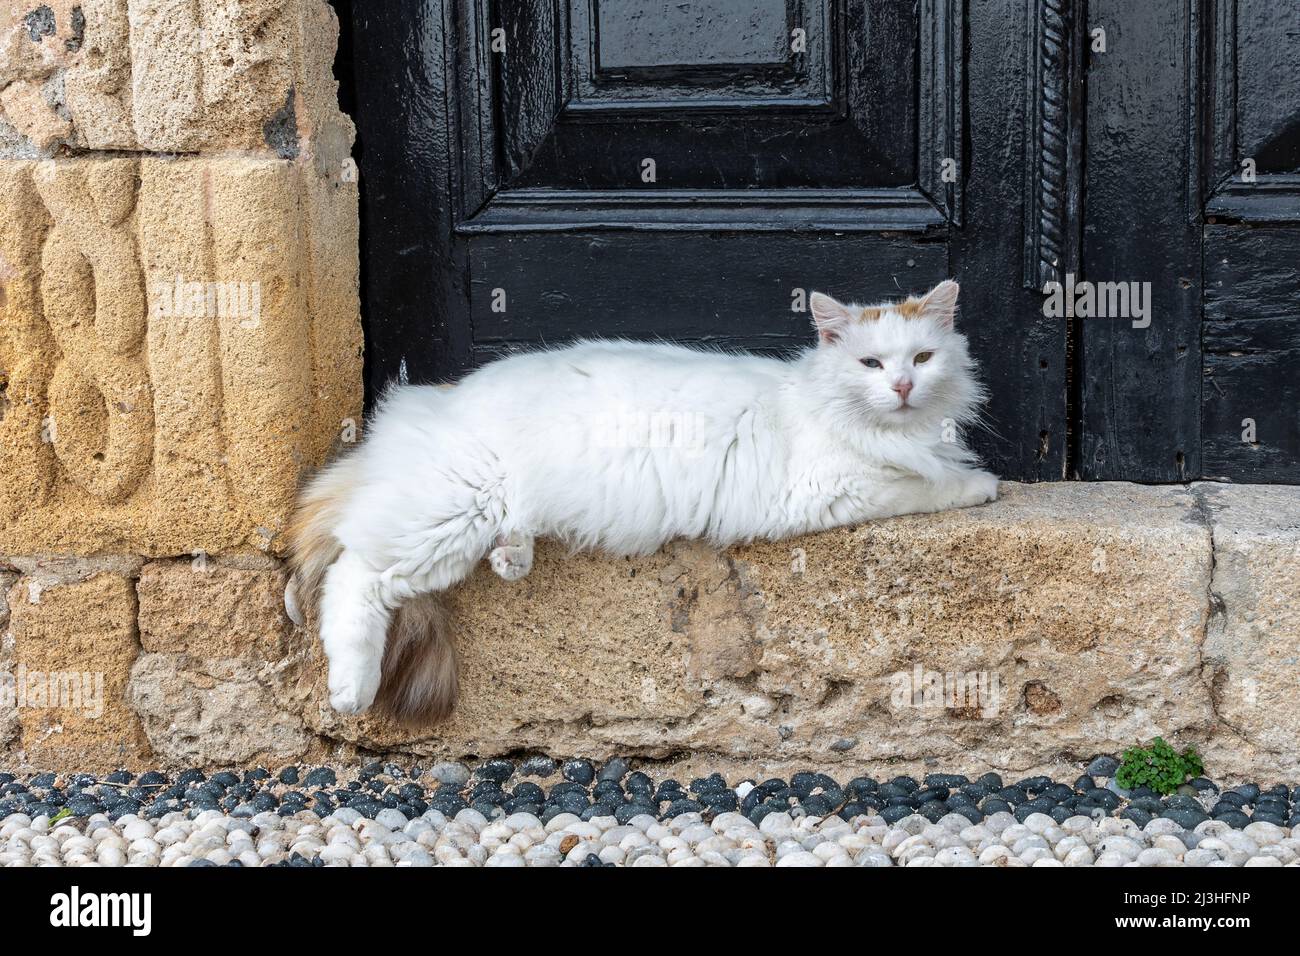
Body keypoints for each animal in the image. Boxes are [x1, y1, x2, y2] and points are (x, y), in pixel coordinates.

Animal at [287, 280, 993, 723]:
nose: (902, 387)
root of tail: (437, 396)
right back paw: (351, 688)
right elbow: (933, 484)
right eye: (872, 365)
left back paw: (514, 557)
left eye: (922, 358)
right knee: (354, 577)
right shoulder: (838, 488)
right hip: (450, 516)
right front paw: (983, 484)